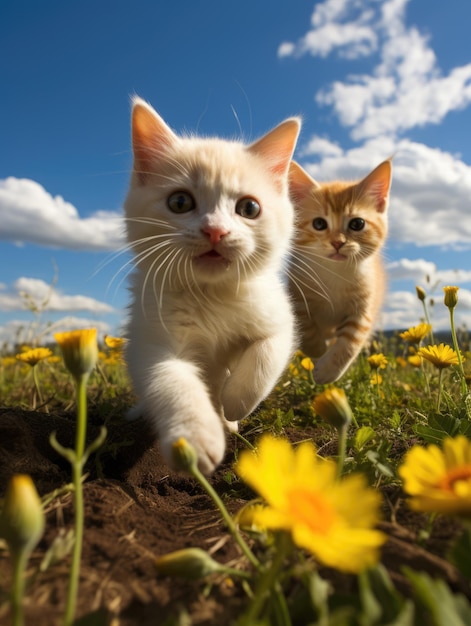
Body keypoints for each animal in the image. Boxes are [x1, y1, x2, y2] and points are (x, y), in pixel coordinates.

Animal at [124, 96, 302, 468]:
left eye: (249, 208)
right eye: (180, 202)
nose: (215, 231)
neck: (212, 293)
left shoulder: (277, 316)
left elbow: (266, 353)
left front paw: (235, 404)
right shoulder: (151, 340)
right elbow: (170, 379)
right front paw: (194, 438)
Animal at [290, 158, 392, 382]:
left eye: (357, 223)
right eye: (319, 223)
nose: (337, 242)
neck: (335, 274)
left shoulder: (364, 308)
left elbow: (350, 341)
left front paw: (327, 371)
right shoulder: (297, 295)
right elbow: (305, 326)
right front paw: (317, 349)